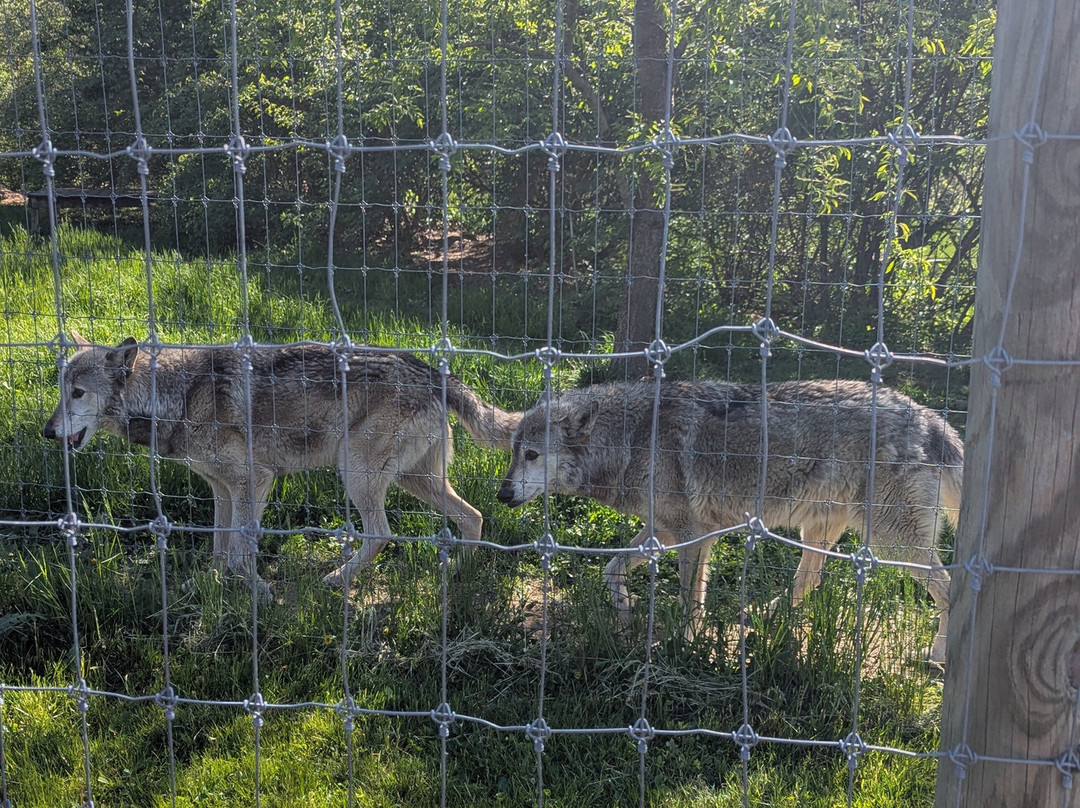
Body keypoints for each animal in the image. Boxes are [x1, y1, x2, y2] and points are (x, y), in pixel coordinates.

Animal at [43, 334, 518, 588]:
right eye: (60, 391)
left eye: (78, 393)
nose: (47, 432)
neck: (179, 395)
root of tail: (434, 372)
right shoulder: (222, 490)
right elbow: (220, 546)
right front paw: (209, 587)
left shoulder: (254, 481)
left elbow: (240, 549)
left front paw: (257, 593)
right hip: (413, 481)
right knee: (473, 516)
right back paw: (459, 572)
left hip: (356, 475)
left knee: (383, 534)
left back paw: (338, 579)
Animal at [496, 378, 962, 664]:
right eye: (514, 451)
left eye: (532, 455)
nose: (501, 495)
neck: (631, 440)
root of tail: (930, 418)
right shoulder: (666, 531)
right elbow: (611, 568)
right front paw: (625, 608)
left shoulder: (689, 536)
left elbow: (688, 600)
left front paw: (682, 646)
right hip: (820, 530)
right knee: (809, 580)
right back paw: (765, 616)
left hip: (892, 542)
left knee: (948, 589)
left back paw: (939, 655)